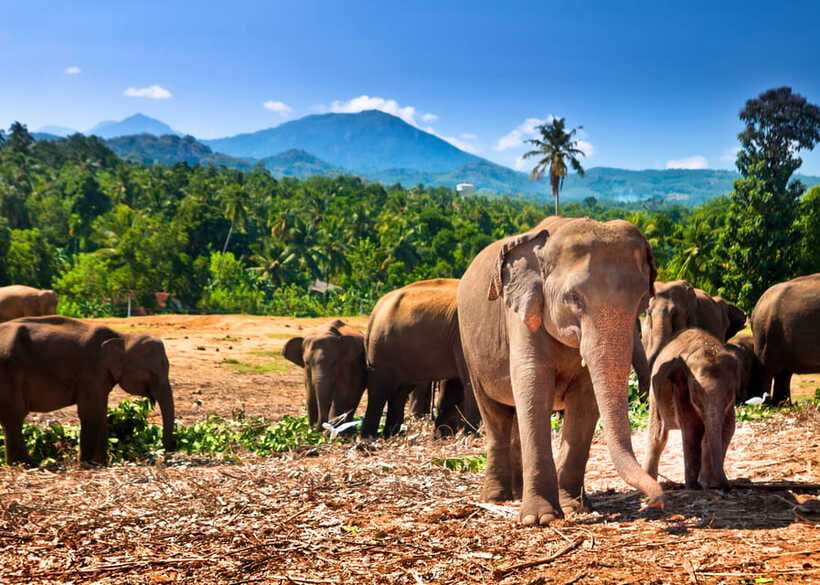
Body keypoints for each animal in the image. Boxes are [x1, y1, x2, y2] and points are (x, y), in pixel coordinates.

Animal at [0, 316, 176, 466]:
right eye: (152, 373)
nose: (167, 450)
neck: (122, 337)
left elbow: (101, 412)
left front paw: (102, 463)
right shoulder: (91, 371)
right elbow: (91, 413)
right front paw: (88, 464)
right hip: (9, 373)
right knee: (15, 415)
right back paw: (24, 464)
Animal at [363, 278, 480, 438]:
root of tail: (375, 310)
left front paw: (444, 435)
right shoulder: (463, 337)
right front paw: (470, 435)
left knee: (399, 392)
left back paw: (392, 434)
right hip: (380, 350)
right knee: (379, 392)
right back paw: (369, 437)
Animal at [458, 216, 663, 525]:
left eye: (642, 299)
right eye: (574, 298)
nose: (655, 500)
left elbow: (585, 401)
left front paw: (575, 508)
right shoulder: (521, 313)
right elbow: (533, 384)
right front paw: (540, 518)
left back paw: (517, 492)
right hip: (470, 348)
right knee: (495, 416)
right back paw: (497, 499)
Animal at [644, 328, 739, 490]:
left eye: (729, 393)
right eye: (697, 395)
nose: (727, 486)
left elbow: (728, 428)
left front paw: (708, 483)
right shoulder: (680, 389)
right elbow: (692, 429)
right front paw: (693, 486)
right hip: (654, 393)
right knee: (658, 436)